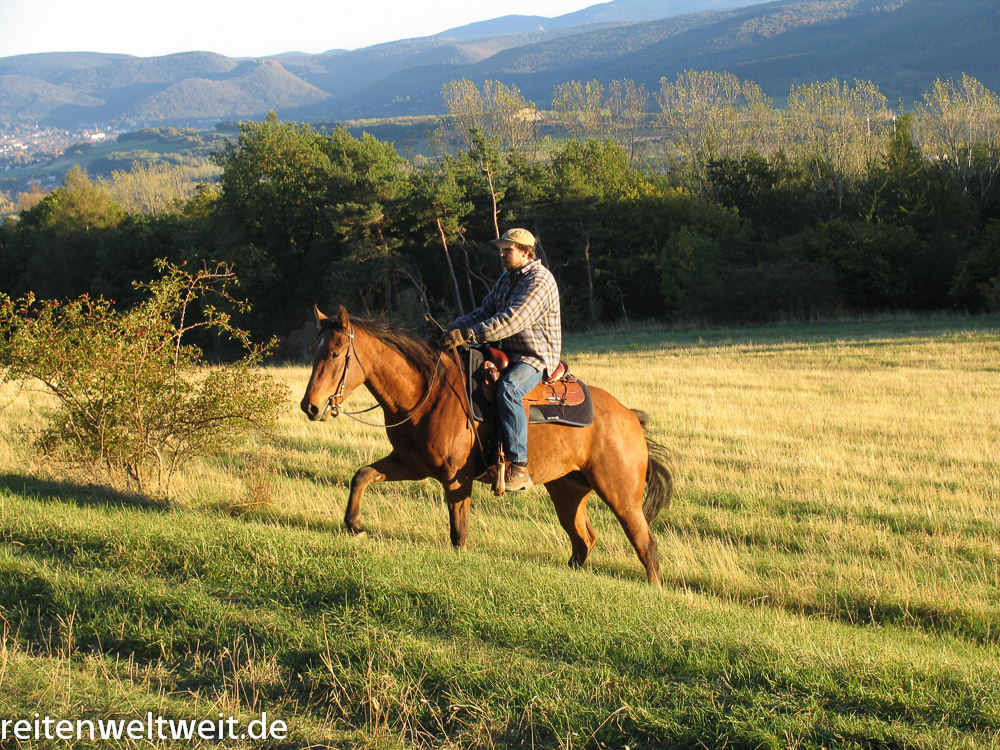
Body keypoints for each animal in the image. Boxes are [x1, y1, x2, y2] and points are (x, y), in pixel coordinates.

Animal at [296, 306, 672, 588]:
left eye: (335, 352)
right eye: (312, 351)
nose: (310, 406)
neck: (429, 392)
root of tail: (631, 418)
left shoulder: (455, 478)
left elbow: (459, 533)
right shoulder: (410, 464)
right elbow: (362, 475)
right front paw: (355, 525)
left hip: (620, 495)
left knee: (645, 544)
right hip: (567, 490)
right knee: (583, 540)